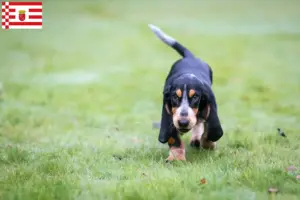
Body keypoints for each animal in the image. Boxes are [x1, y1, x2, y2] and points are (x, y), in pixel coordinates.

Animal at [148, 24, 223, 162]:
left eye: (195, 97)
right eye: (174, 97)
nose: (183, 122)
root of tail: (190, 57)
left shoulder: (209, 104)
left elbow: (209, 131)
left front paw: (208, 144)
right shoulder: (170, 113)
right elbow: (174, 139)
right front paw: (176, 158)